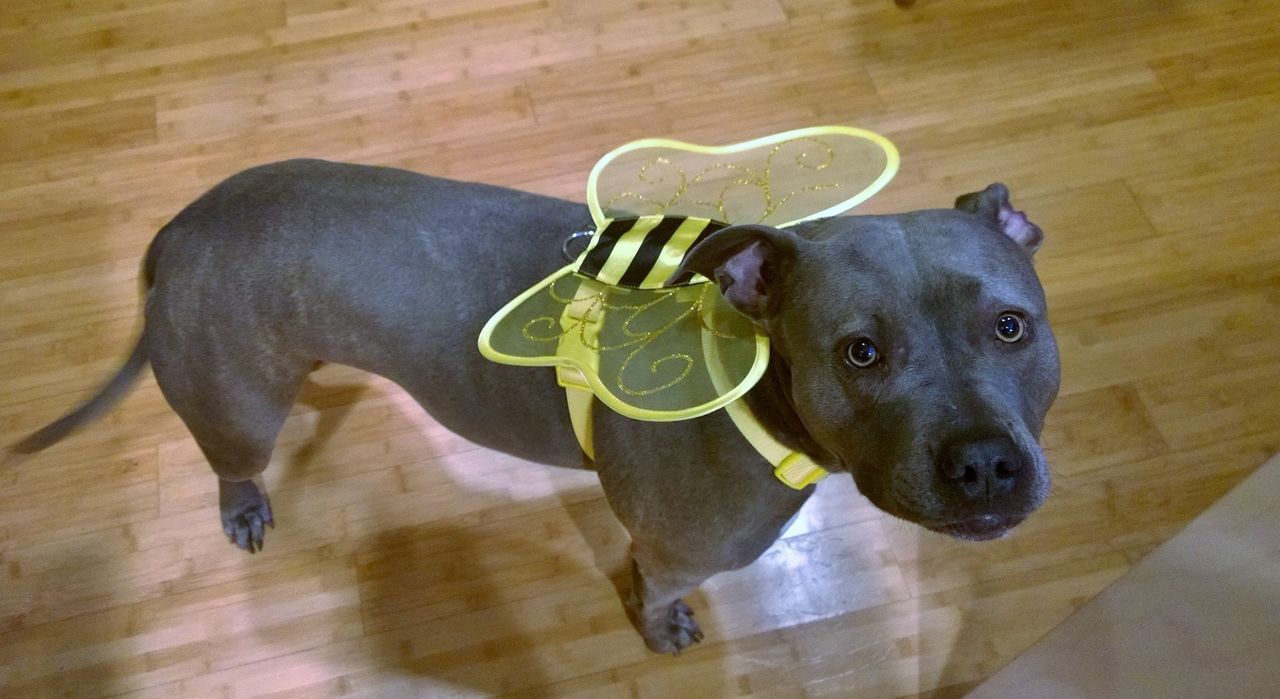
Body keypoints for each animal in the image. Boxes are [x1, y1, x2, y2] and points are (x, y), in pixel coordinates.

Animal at [10, 157, 1059, 652]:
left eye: (1012, 327)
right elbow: (656, 589)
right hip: (232, 402)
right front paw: (661, 631)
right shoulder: (677, 551)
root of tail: (181, 228)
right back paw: (243, 505)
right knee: (232, 459)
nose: (984, 464)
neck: (757, 380)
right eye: (861, 352)